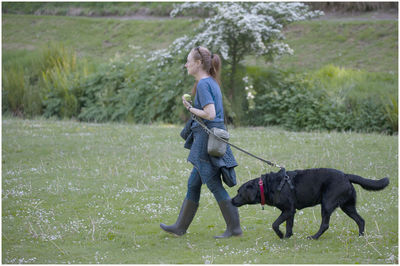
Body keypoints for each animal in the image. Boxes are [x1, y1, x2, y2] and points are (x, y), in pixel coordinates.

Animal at [233, 169, 390, 240]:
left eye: (239, 192)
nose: (231, 201)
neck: (267, 186)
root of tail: (346, 175)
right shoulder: (290, 211)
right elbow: (289, 225)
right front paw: (287, 236)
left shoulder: (288, 210)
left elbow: (275, 224)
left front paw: (281, 235)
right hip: (347, 206)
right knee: (360, 220)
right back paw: (361, 236)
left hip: (327, 204)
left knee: (325, 224)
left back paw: (314, 237)